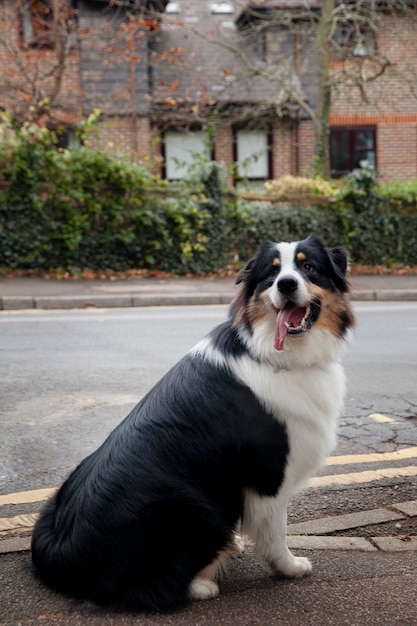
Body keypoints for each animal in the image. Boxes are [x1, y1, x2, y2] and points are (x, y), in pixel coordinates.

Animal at [30, 234, 354, 608]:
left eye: (309, 267)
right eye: (271, 275)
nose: (286, 284)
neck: (270, 352)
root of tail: (60, 557)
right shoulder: (269, 475)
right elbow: (276, 531)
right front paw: (289, 567)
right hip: (198, 507)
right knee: (155, 586)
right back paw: (202, 583)